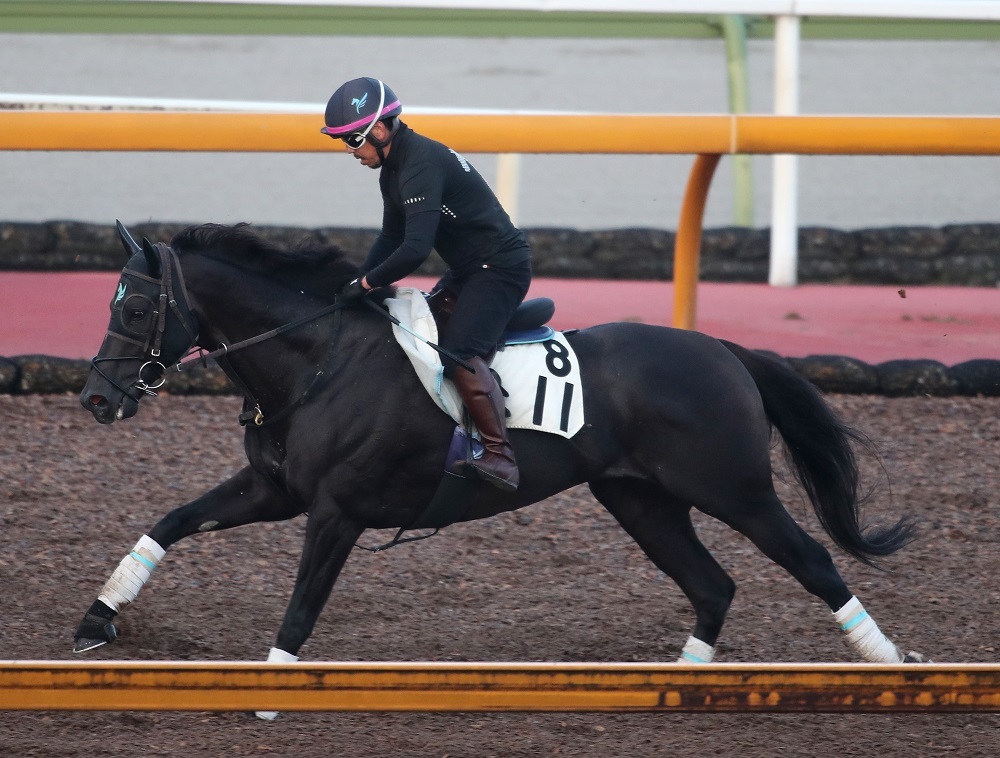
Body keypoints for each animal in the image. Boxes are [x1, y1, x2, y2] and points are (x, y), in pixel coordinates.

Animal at [76, 223, 920, 680]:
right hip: (642, 499)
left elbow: (302, 604)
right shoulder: (275, 490)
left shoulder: (336, 510)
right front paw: (97, 617)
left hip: (735, 490)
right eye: (111, 301)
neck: (316, 359)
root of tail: (722, 349)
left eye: (138, 307)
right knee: (713, 586)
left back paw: (890, 661)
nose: (96, 398)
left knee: (811, 560)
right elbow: (172, 520)